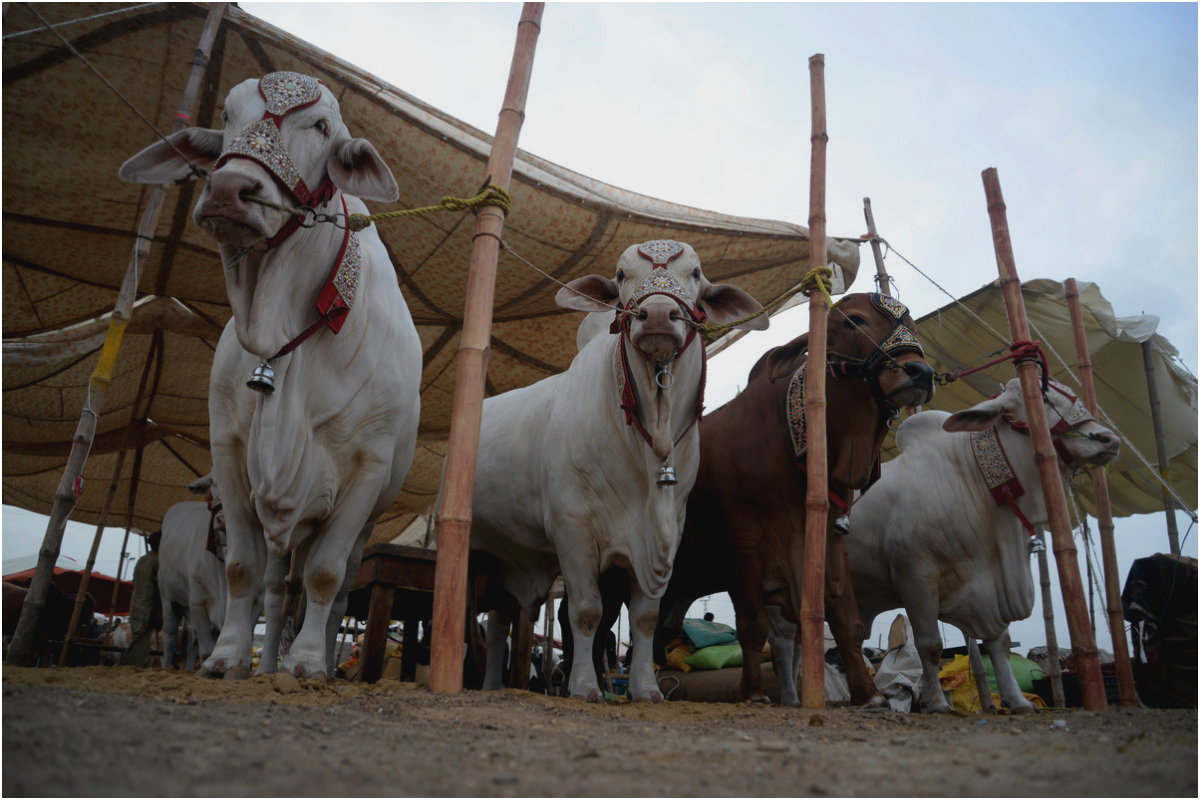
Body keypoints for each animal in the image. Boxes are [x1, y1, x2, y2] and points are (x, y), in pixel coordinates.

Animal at [120, 71, 421, 679]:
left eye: (323, 126)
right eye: (227, 115)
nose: (229, 189)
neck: (283, 335)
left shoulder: (367, 472)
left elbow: (326, 576)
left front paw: (307, 663)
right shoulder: (232, 456)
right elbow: (243, 570)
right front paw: (228, 657)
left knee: (329, 593)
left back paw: (315, 658)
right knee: (278, 588)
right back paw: (263, 665)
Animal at [460, 240, 766, 702]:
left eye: (696, 273)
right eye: (621, 275)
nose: (656, 315)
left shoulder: (664, 537)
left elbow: (644, 620)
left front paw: (645, 689)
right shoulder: (574, 532)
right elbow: (586, 613)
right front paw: (585, 686)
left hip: (507, 559)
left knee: (498, 623)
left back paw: (493, 685)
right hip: (468, 550)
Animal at [655, 292, 936, 705]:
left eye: (913, 326)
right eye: (854, 321)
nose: (921, 372)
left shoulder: (832, 538)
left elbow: (847, 622)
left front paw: (869, 693)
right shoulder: (745, 544)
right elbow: (752, 626)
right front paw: (756, 692)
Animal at [845, 377, 1121, 713]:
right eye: (1041, 398)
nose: (1109, 440)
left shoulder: (987, 585)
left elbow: (999, 643)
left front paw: (1017, 700)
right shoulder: (916, 577)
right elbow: (930, 644)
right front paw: (936, 702)